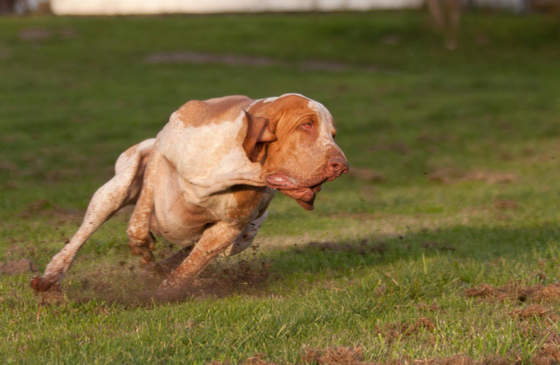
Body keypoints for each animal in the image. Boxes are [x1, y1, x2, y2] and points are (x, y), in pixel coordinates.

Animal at [30, 93, 348, 290]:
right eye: (306, 125)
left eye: (332, 134)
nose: (342, 166)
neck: (233, 165)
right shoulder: (160, 156)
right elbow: (139, 222)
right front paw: (143, 248)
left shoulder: (230, 228)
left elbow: (191, 264)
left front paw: (163, 291)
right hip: (113, 190)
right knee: (86, 231)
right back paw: (51, 277)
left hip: (246, 236)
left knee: (190, 250)